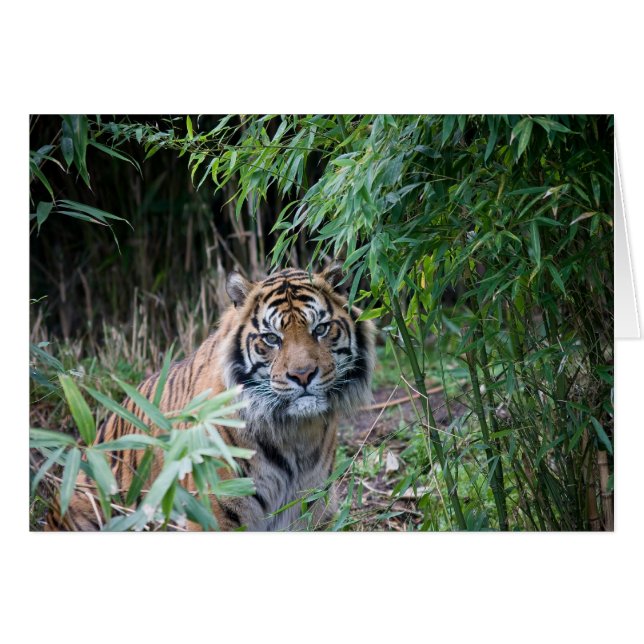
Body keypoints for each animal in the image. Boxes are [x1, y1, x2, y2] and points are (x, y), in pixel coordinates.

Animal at [48, 265, 376, 531]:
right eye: (272, 338)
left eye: (320, 329)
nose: (303, 375)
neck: (294, 432)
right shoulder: (215, 508)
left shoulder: (314, 506)